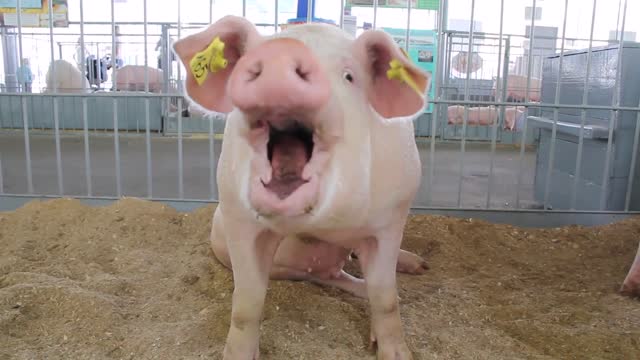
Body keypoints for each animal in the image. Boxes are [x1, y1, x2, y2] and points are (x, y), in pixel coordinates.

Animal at [172, 15, 430, 358]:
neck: (325, 223)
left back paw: (421, 266)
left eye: (349, 76)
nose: (282, 51)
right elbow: (247, 303)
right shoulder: (239, 219)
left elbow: (385, 297)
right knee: (328, 275)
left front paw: (398, 353)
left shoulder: (391, 218)